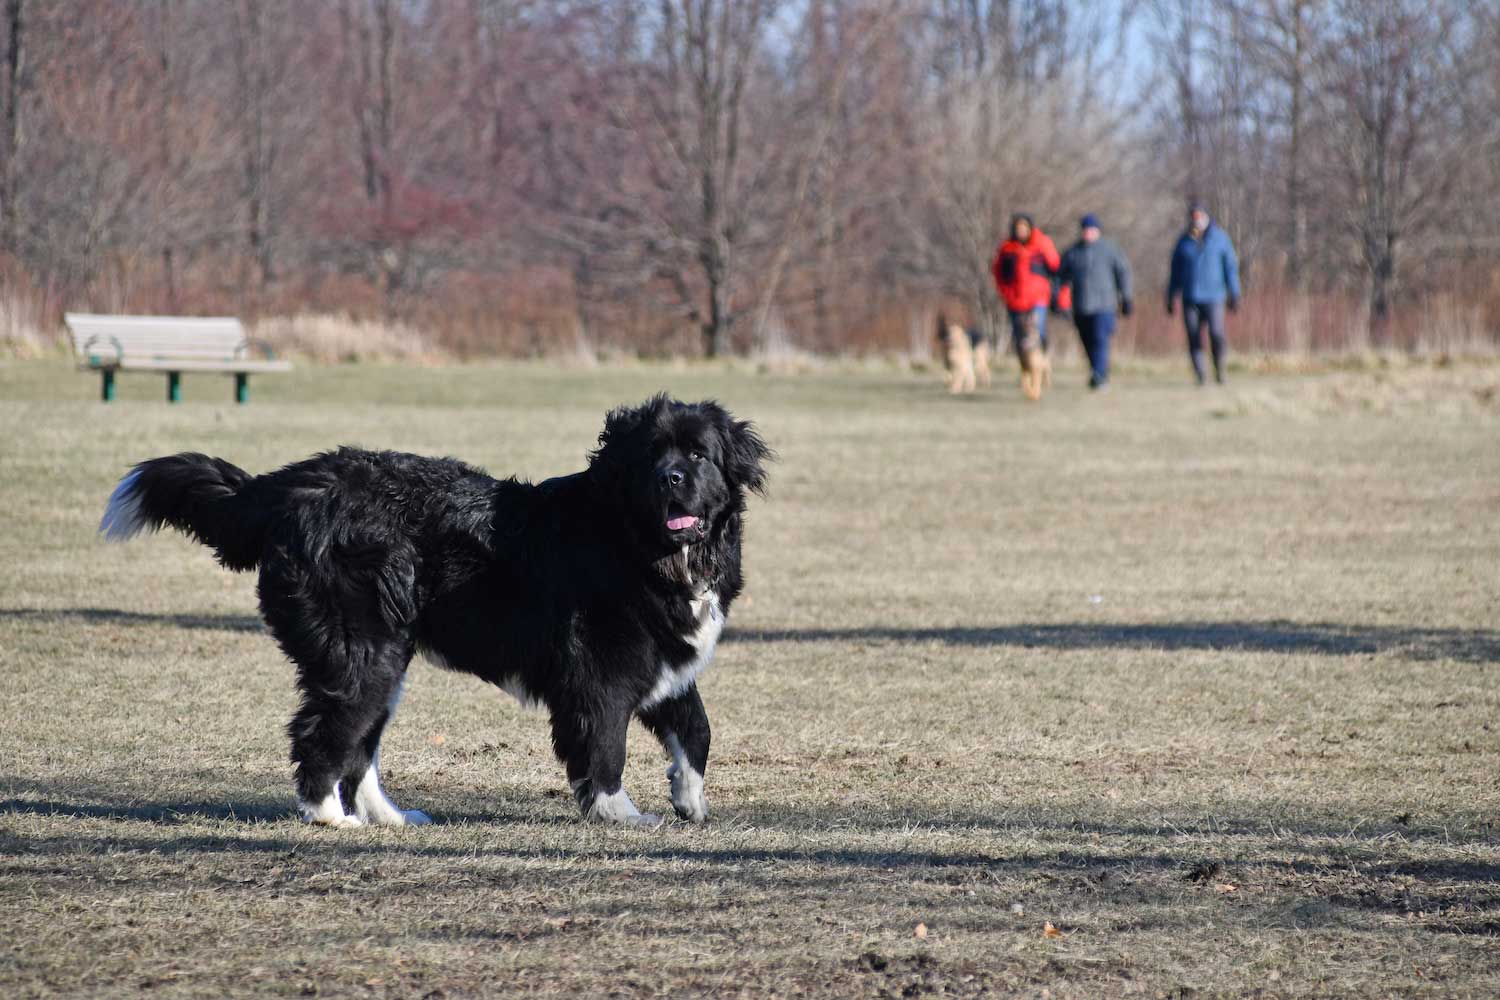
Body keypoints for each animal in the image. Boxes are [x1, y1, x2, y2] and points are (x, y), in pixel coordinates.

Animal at [99, 398, 768, 827]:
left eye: (699, 455)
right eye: (650, 457)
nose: (670, 477)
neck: (642, 544)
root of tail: (295, 484)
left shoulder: (665, 659)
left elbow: (697, 727)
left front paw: (690, 800)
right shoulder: (600, 674)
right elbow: (604, 745)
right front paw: (620, 813)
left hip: (385, 660)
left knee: (359, 747)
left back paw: (388, 816)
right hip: (364, 652)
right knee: (323, 733)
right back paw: (331, 818)